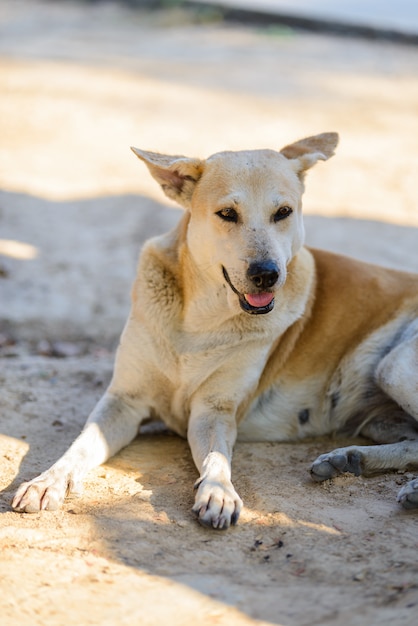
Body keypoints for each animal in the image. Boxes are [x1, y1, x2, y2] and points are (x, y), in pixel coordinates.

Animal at [11, 133, 418, 528]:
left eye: (283, 213)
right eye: (227, 214)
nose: (267, 274)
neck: (200, 321)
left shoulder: (213, 411)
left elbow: (218, 457)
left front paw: (218, 492)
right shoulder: (124, 400)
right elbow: (79, 446)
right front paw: (47, 480)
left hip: (394, 366)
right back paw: (352, 460)